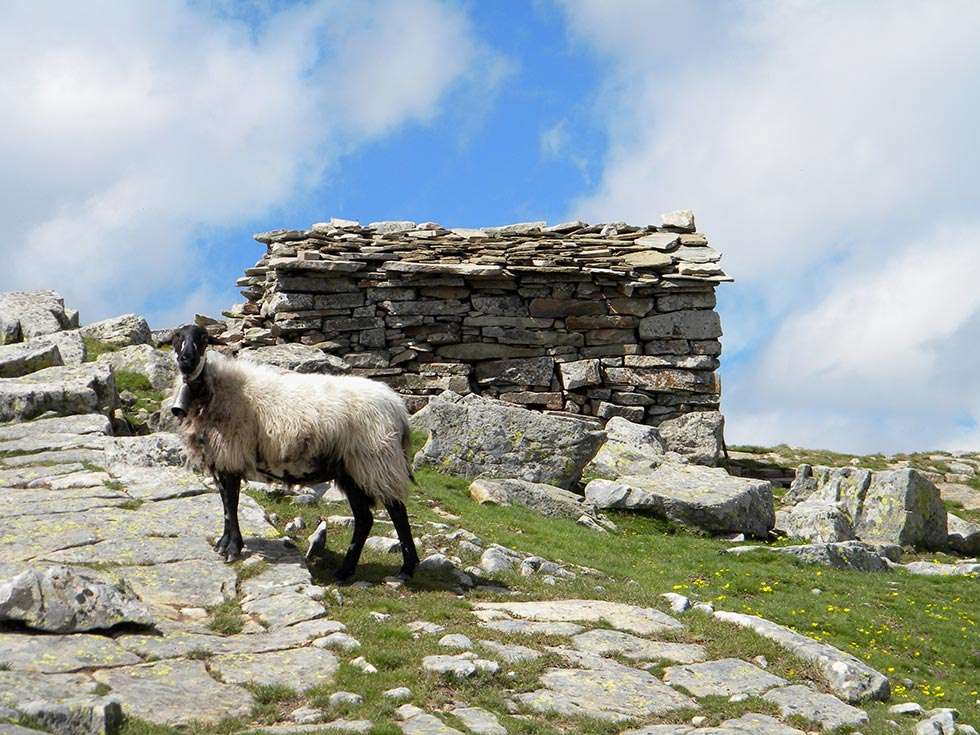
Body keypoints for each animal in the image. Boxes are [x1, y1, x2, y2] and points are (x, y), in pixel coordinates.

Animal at [167, 324, 418, 584]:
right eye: (176, 338)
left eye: (203, 338)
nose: (187, 360)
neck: (214, 390)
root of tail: (397, 406)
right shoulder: (220, 459)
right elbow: (226, 503)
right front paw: (223, 544)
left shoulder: (231, 455)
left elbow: (231, 504)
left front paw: (232, 548)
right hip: (352, 470)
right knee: (364, 519)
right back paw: (344, 572)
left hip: (377, 460)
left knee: (397, 512)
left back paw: (406, 569)